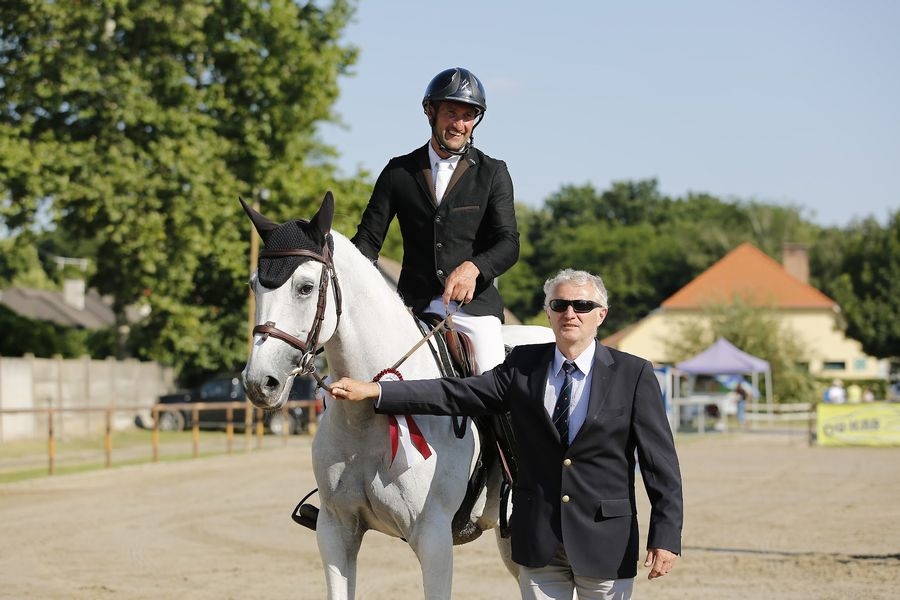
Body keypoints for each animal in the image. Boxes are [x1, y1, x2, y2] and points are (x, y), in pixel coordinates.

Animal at [240, 192, 553, 599]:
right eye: (253, 286)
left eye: (305, 287)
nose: (259, 382)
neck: (367, 414)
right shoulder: (335, 531)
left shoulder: (433, 537)